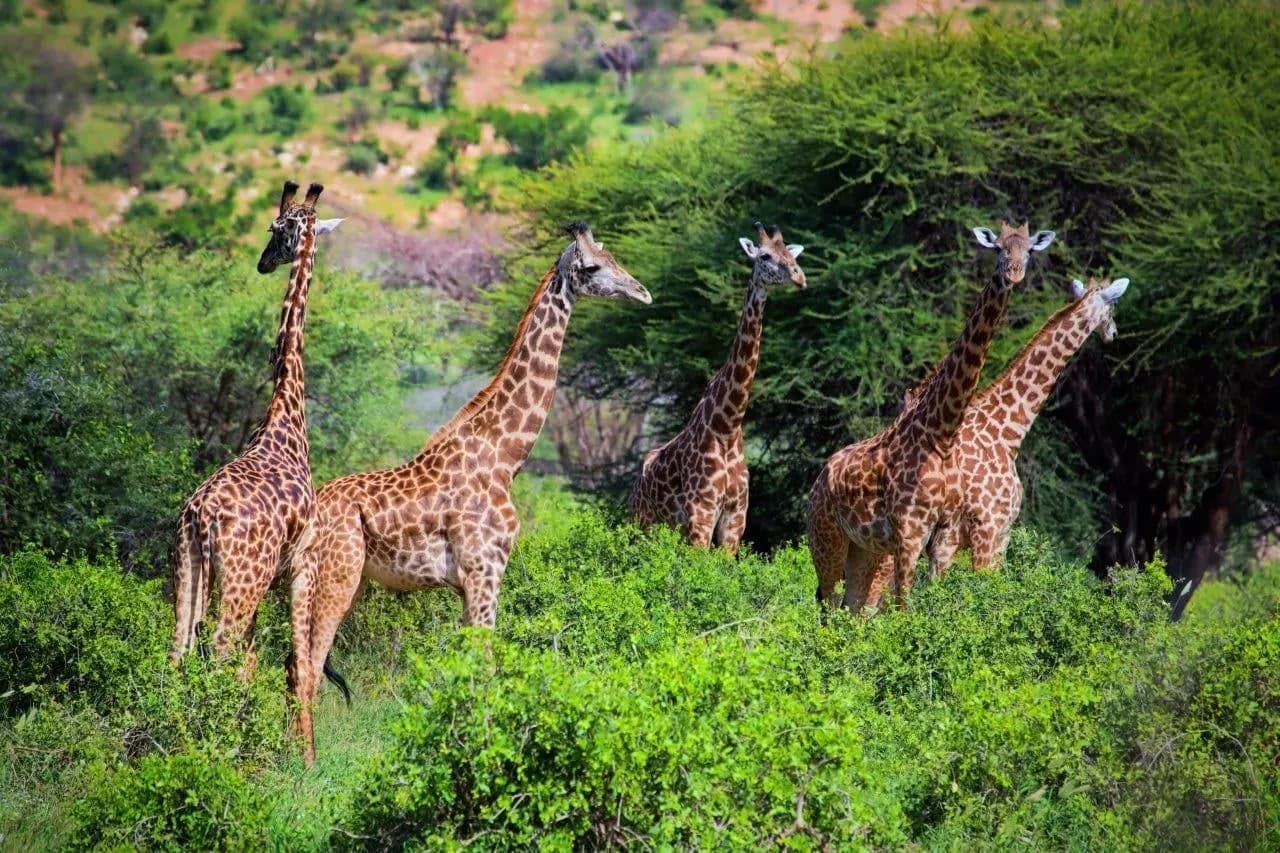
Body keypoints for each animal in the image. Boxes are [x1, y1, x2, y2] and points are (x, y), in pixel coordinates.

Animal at [170, 180, 343, 667]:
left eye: (276, 230)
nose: (263, 262)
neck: (285, 411)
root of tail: (203, 518)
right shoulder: (295, 560)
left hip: (188, 564)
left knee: (178, 647)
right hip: (245, 577)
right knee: (222, 647)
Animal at [287, 223, 650, 764]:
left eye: (613, 257)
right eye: (592, 267)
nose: (642, 292)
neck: (506, 455)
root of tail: (311, 514)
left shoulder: (466, 582)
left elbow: (466, 668)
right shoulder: (486, 569)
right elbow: (485, 666)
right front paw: (484, 756)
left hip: (315, 580)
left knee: (293, 665)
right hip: (338, 575)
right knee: (309, 667)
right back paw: (308, 767)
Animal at [627, 222, 806, 554]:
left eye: (791, 254)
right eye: (764, 256)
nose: (799, 277)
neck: (728, 426)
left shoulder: (735, 518)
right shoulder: (701, 514)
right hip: (642, 524)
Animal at [806, 221, 1055, 613]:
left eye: (1029, 250)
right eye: (999, 248)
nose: (1013, 274)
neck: (941, 434)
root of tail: (817, 482)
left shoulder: (944, 533)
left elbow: (934, 603)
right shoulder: (910, 533)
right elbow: (906, 608)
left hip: (863, 548)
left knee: (853, 606)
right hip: (826, 538)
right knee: (829, 606)